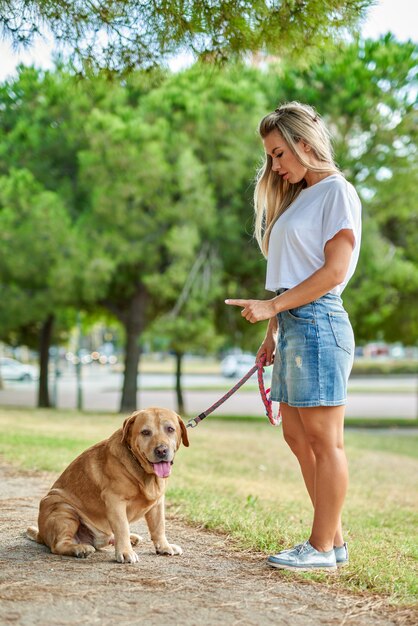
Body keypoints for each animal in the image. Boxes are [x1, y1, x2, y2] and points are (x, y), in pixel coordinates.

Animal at [26, 404, 189, 560]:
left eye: (170, 429)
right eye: (145, 432)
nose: (161, 450)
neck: (144, 472)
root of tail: (41, 534)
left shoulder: (158, 503)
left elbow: (159, 527)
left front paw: (164, 546)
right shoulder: (115, 500)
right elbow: (122, 527)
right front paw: (125, 552)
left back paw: (130, 538)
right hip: (62, 509)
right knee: (58, 545)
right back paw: (81, 548)